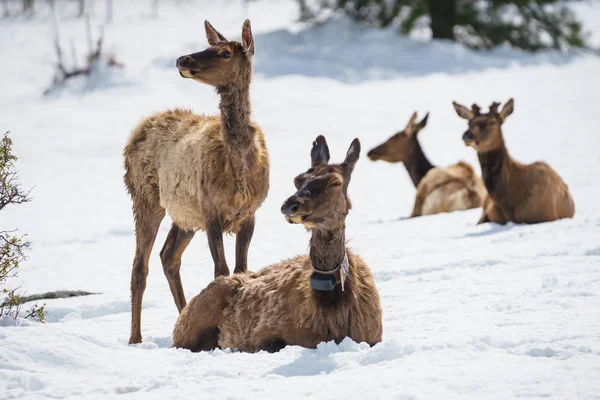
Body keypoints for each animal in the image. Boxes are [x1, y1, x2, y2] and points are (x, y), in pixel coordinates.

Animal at [123, 18, 268, 344]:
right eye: (209, 45)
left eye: (226, 52)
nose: (183, 59)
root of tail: (138, 128)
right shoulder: (212, 212)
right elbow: (221, 270)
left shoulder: (249, 214)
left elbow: (241, 267)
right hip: (145, 198)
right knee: (139, 266)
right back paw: (135, 338)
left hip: (185, 215)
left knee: (167, 256)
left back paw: (183, 316)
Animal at [171, 137, 382, 354]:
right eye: (298, 179)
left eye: (335, 182)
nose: (290, 205)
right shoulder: (265, 333)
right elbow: (273, 343)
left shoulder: (373, 335)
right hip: (190, 326)